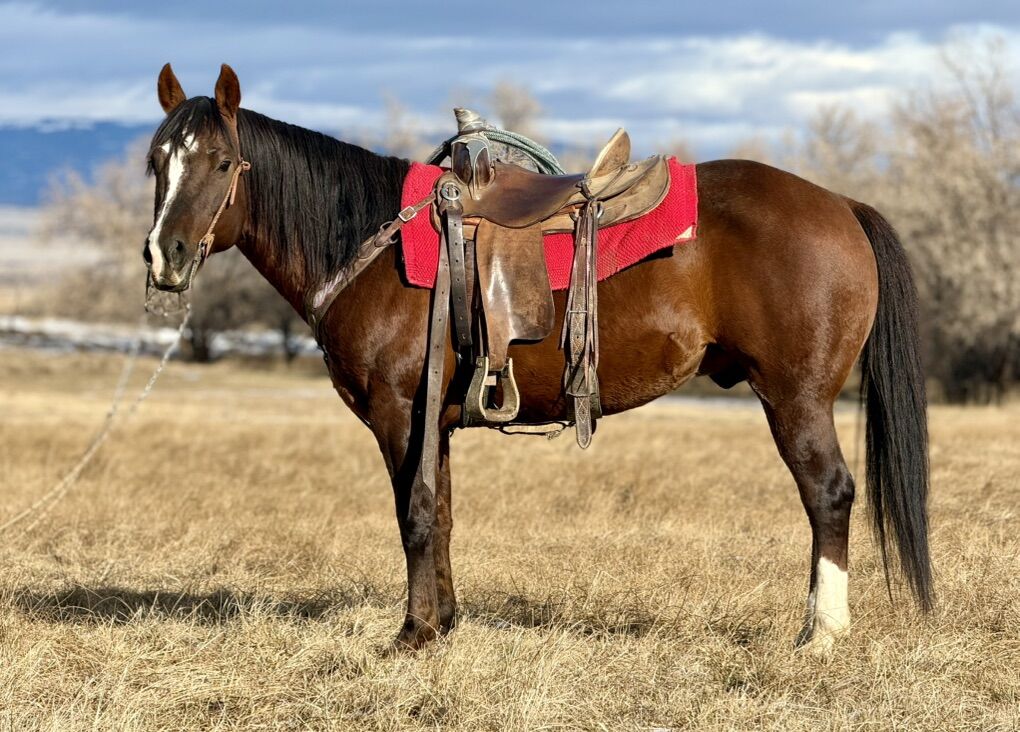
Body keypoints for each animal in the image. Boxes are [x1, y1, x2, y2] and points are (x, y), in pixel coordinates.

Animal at [143, 63, 931, 652]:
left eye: (221, 161)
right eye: (157, 162)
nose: (164, 255)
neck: (376, 248)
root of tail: (841, 204)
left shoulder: (401, 414)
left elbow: (414, 511)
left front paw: (413, 633)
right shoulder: (435, 420)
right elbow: (443, 511)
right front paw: (445, 624)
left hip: (797, 399)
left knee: (828, 493)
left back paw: (822, 633)